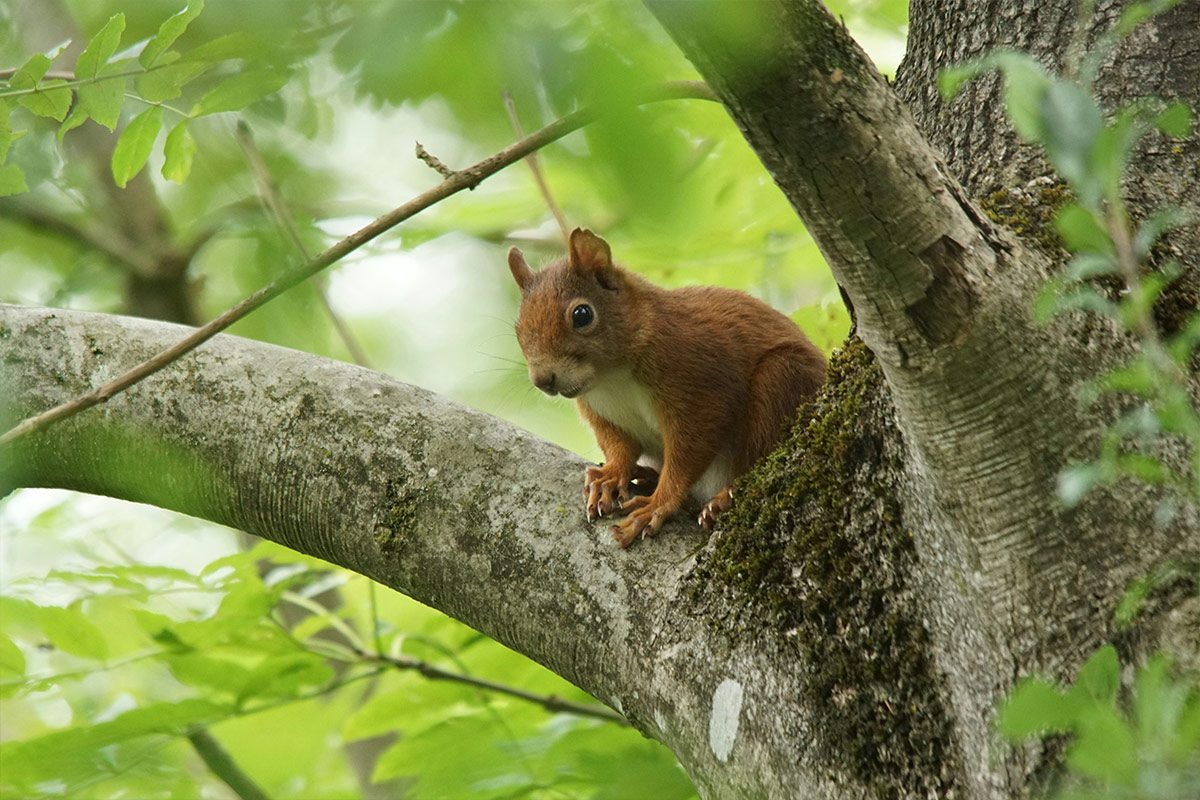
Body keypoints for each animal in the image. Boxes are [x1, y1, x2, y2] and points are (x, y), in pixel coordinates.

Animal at [508, 228, 826, 548]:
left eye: (582, 314)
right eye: (518, 328)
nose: (543, 379)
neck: (611, 379)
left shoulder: (697, 385)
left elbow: (688, 453)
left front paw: (657, 505)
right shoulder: (603, 413)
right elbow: (619, 446)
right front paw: (610, 477)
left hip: (781, 379)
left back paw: (723, 498)